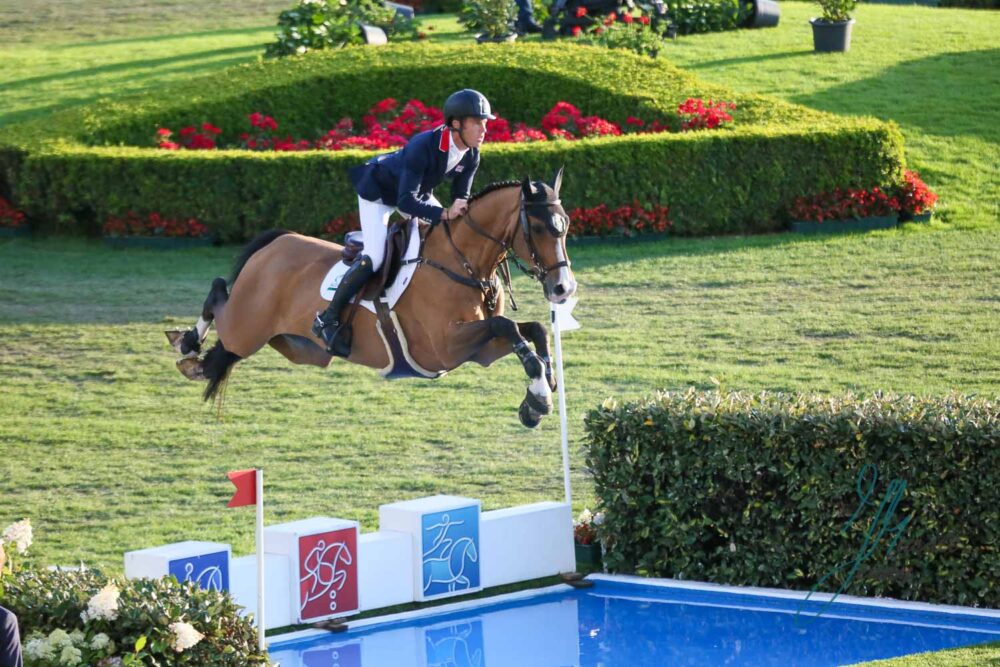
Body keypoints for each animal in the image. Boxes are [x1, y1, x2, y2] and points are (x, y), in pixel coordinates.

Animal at [166, 168, 580, 428]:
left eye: (566, 226)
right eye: (539, 227)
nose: (563, 289)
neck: (460, 261)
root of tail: (276, 243)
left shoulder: (479, 349)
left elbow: (531, 329)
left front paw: (539, 394)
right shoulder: (445, 347)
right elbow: (508, 325)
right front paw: (540, 396)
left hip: (293, 346)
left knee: (223, 346)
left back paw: (194, 358)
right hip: (247, 328)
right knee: (219, 294)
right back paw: (186, 341)